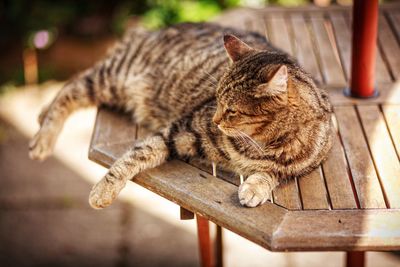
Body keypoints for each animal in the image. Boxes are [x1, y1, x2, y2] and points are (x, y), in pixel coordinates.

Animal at [29, 23, 332, 209]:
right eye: (216, 99)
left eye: (231, 110)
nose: (215, 121)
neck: (260, 145)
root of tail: (144, 30)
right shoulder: (178, 131)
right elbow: (134, 156)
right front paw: (104, 190)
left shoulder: (301, 166)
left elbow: (273, 174)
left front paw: (255, 187)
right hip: (112, 78)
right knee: (71, 87)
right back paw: (42, 140)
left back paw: (41, 117)